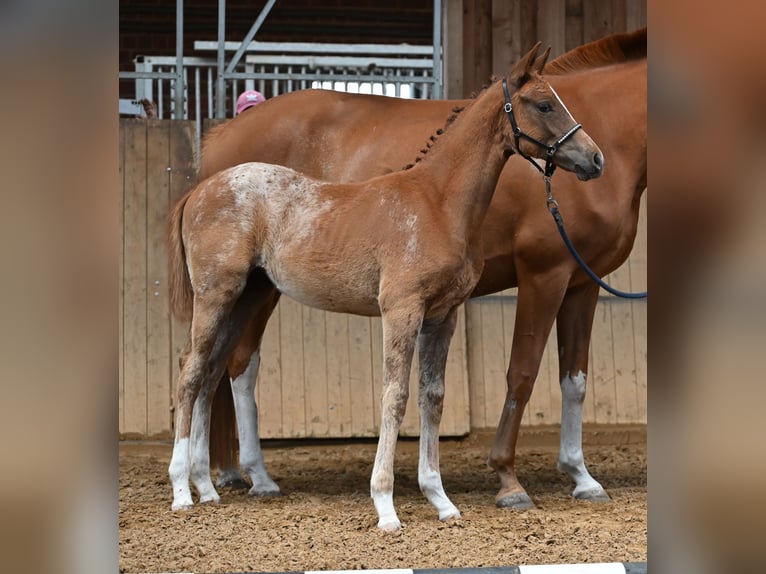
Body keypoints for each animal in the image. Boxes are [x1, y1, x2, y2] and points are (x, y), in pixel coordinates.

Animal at [197, 28, 646, 511]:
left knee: (223, 365)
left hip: (257, 287)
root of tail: (223, 132)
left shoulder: (582, 284)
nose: (594, 160)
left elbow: (574, 380)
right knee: (235, 364)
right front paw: (508, 479)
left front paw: (582, 477)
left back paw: (229, 473)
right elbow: (522, 374)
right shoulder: (545, 275)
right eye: (545, 106)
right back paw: (249, 475)